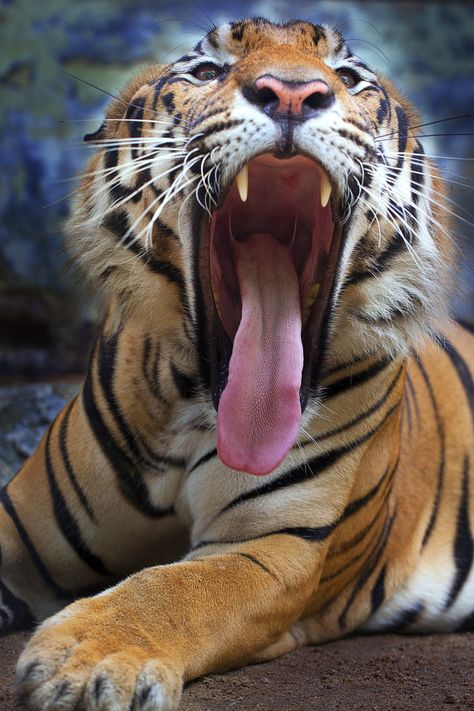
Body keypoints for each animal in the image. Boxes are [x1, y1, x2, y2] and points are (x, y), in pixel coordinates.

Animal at [0, 15, 472, 711]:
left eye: (348, 77)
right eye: (207, 70)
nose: (293, 94)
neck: (194, 404)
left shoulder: (274, 547)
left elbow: (169, 589)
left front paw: (83, 662)